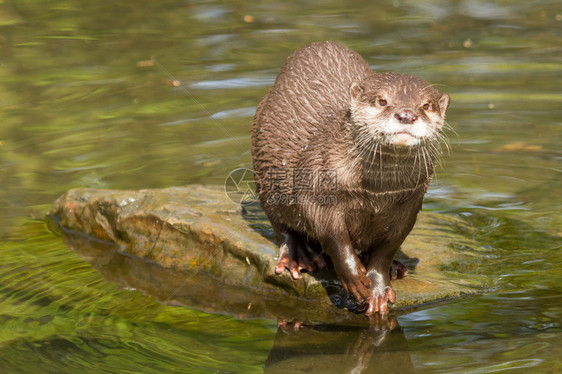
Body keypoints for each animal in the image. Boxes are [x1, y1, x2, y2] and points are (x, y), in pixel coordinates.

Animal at [252, 41, 448, 316]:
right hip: (265, 175)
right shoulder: (318, 187)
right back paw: (301, 256)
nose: (407, 115)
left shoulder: (409, 203)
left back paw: (396, 268)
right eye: (382, 100)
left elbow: (388, 248)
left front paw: (379, 286)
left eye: (427, 105)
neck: (375, 192)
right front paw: (356, 279)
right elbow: (333, 237)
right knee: (282, 225)